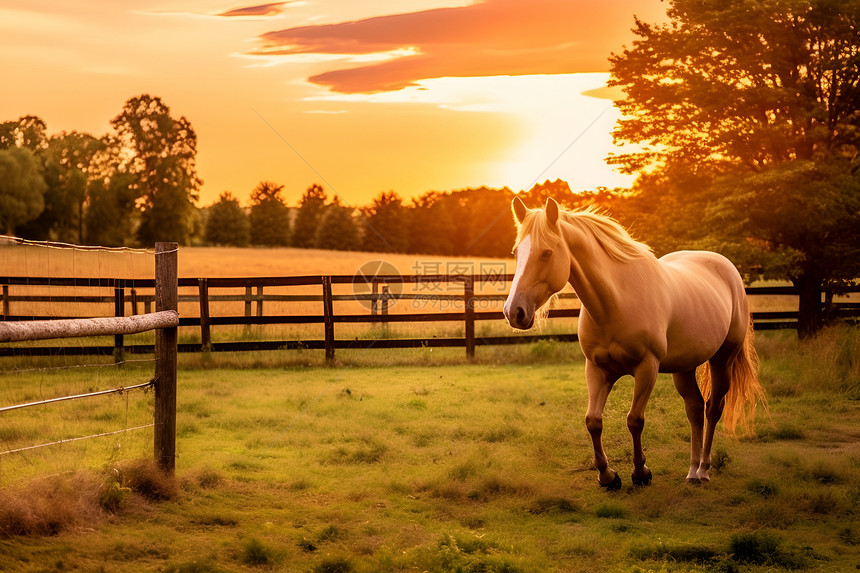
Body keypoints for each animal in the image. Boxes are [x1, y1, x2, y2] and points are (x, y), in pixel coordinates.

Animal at [504, 197, 764, 488]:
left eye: (547, 253)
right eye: (516, 252)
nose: (514, 312)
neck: (615, 302)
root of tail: (727, 268)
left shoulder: (646, 368)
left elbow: (634, 420)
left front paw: (641, 473)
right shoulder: (597, 369)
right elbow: (593, 421)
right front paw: (607, 476)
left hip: (723, 360)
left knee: (712, 409)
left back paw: (704, 470)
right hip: (684, 368)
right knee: (695, 410)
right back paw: (692, 471)